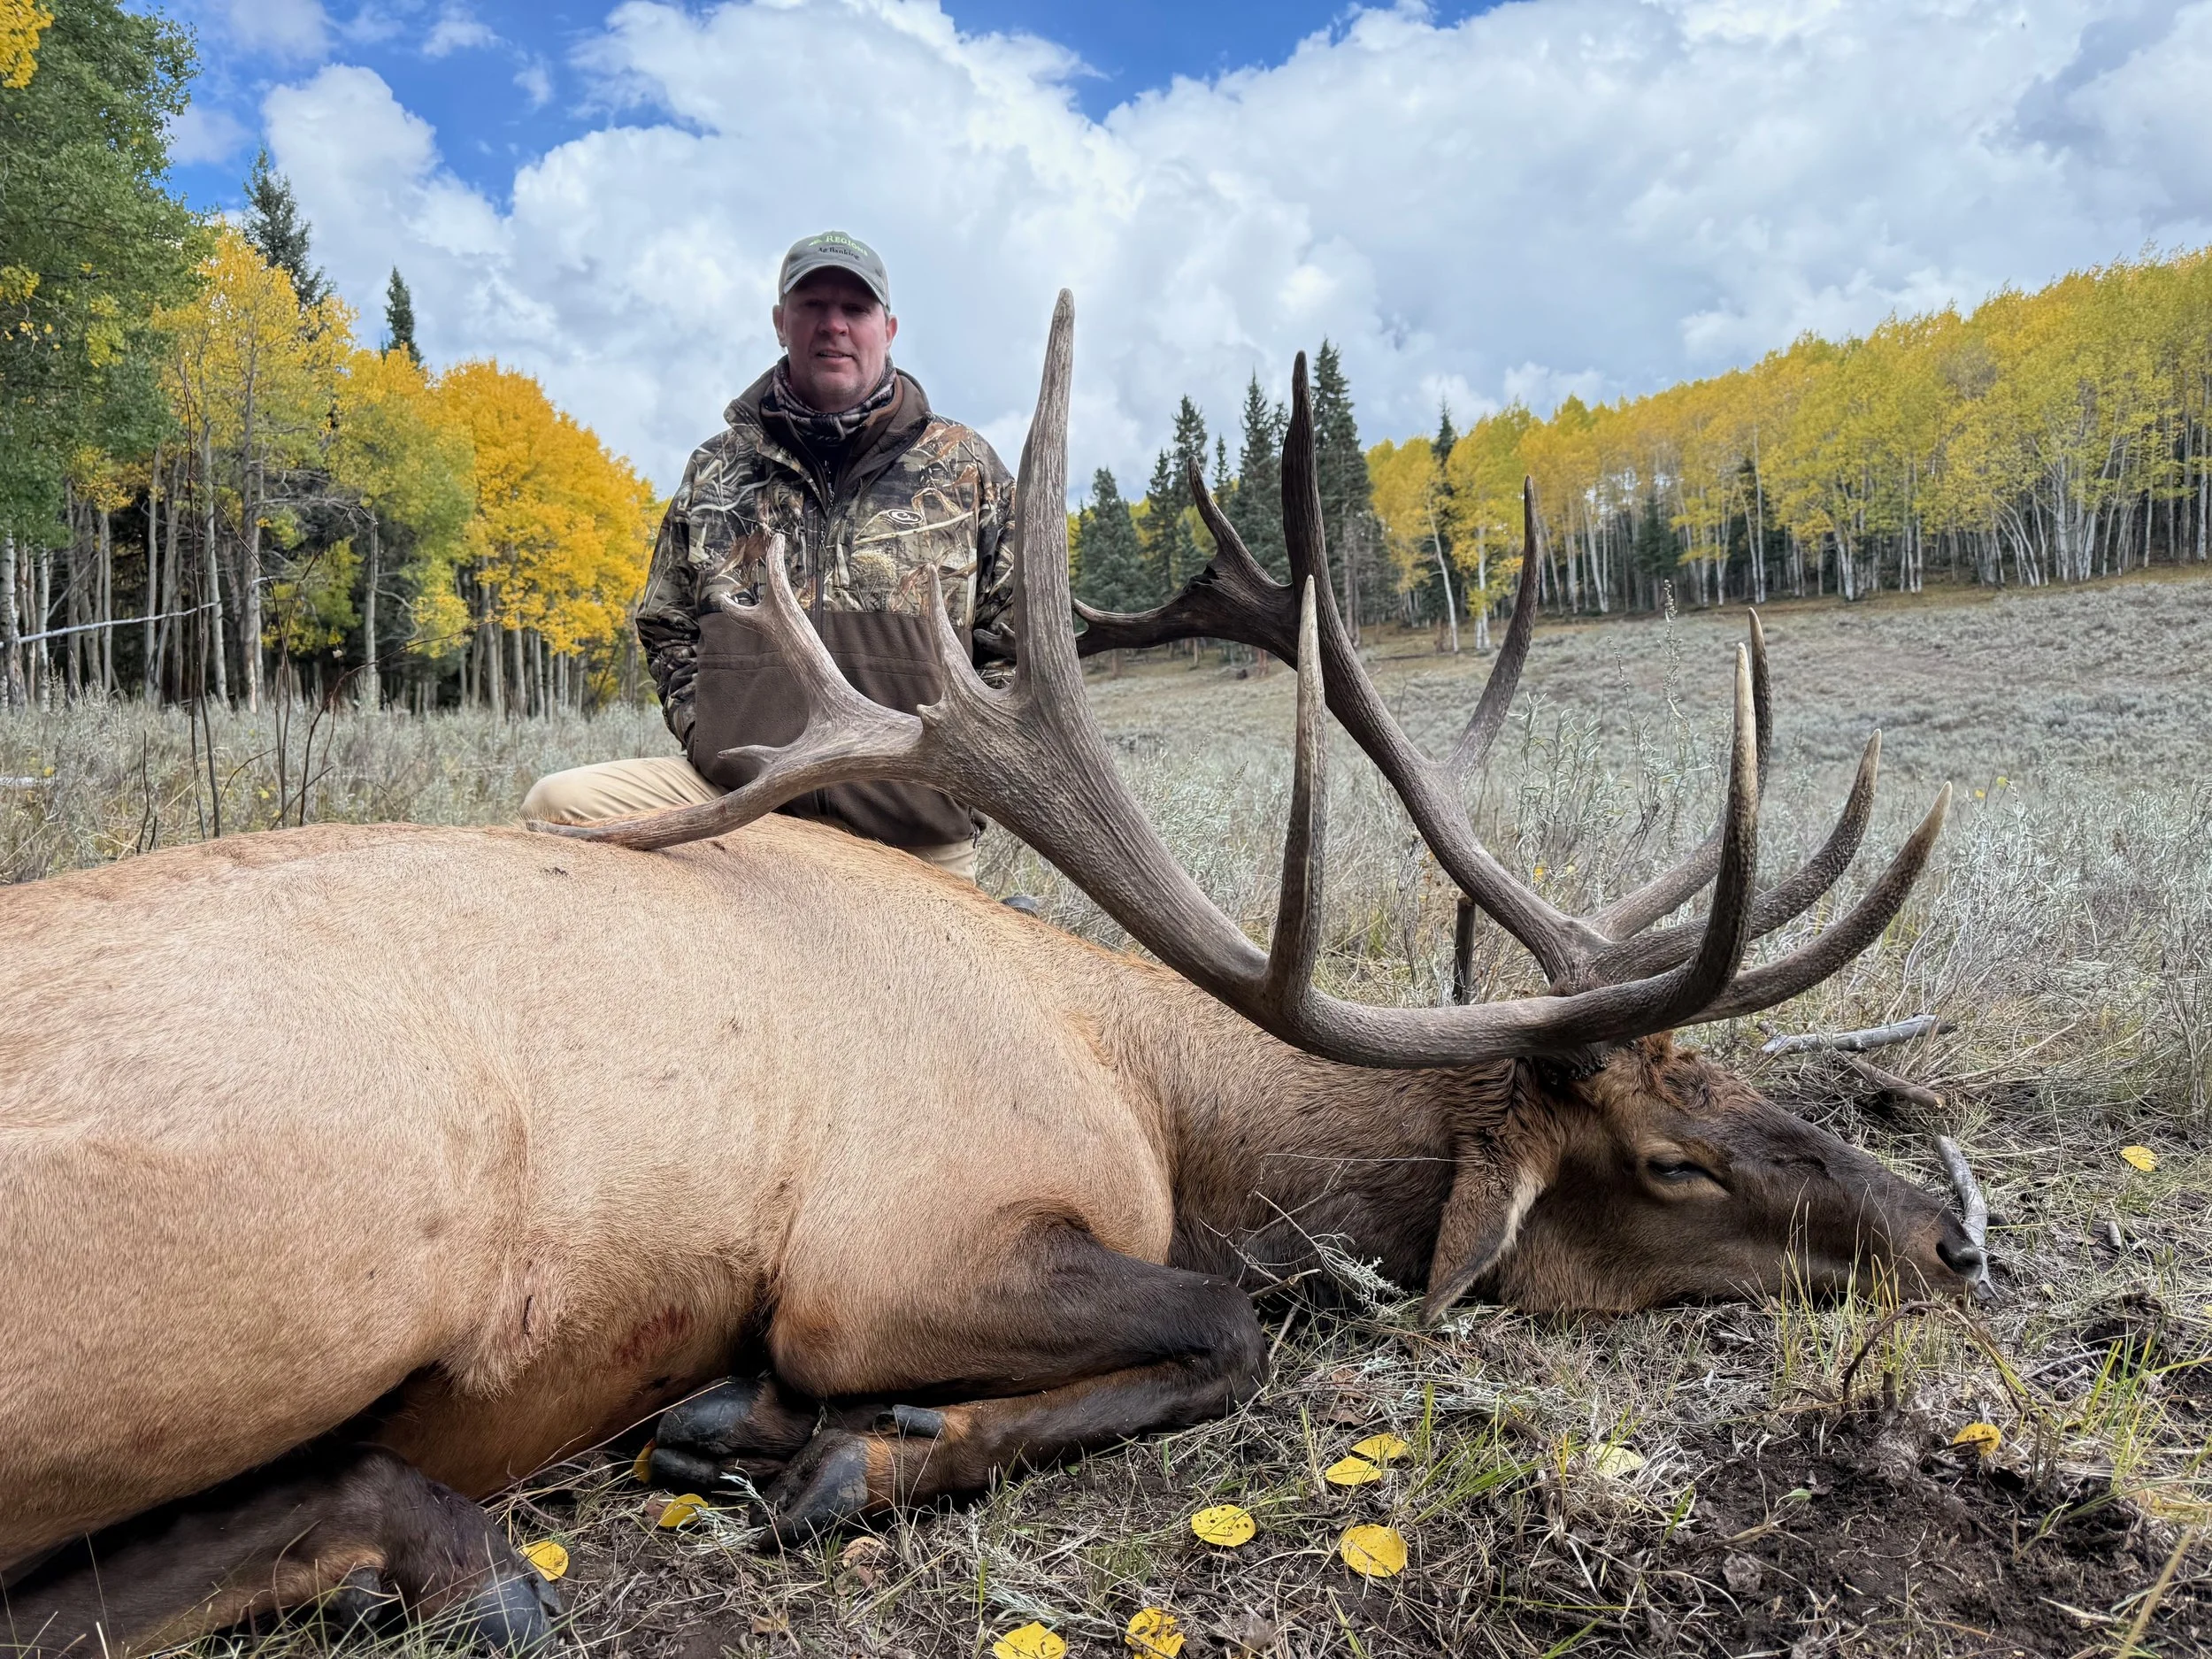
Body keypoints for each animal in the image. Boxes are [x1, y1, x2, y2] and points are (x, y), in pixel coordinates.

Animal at [0, 292, 1984, 1659]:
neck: (1162, 1096)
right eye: (1669, 1162)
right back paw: (462, 1553)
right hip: (319, 1248)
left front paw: (759, 1431)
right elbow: (1225, 1326)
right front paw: (830, 1446)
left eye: (1742, 1084)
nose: (1950, 1239)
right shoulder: (890, 1249)